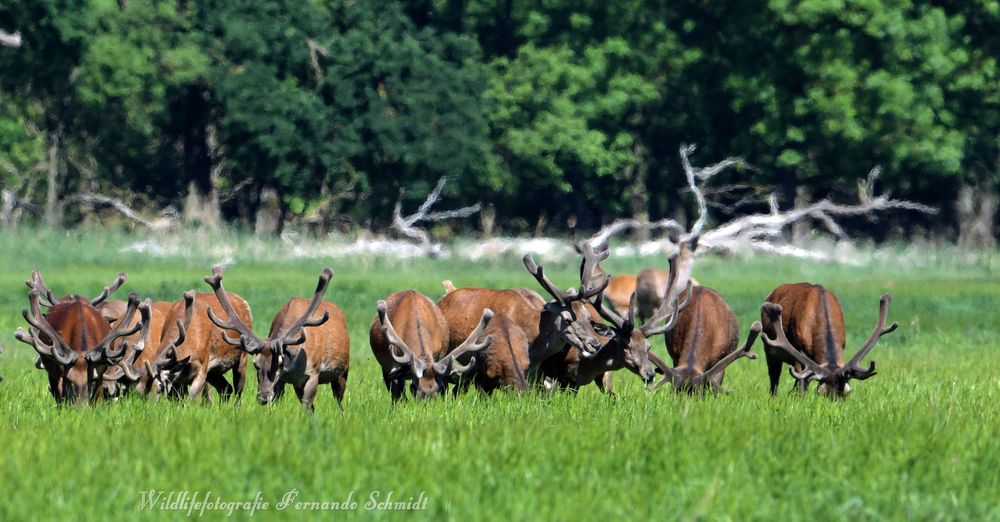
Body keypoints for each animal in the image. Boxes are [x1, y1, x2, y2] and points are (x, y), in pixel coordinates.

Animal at [201, 268, 350, 410]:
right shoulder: (282, 382)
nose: (263, 397)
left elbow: (307, 407)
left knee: (340, 403)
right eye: (255, 364)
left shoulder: (313, 372)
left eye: (279, 363)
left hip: (343, 372)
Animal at [756, 282, 900, 396]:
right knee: (775, 380)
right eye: (821, 393)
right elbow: (800, 386)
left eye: (847, 393)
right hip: (769, 350)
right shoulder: (797, 352)